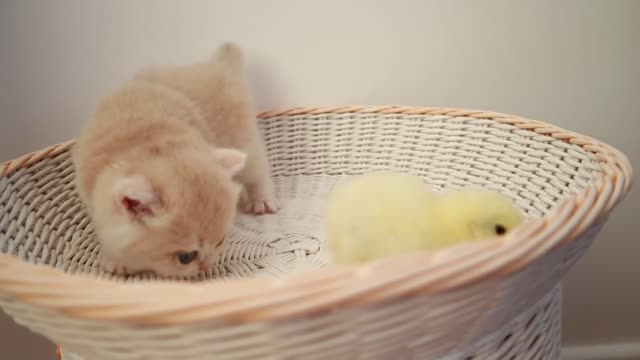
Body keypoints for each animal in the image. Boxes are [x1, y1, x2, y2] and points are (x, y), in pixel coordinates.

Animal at [72, 43, 278, 278]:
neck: (146, 141)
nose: (206, 266)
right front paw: (115, 259)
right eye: (186, 257)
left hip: (243, 139)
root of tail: (218, 65)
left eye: (220, 242)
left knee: (257, 172)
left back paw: (262, 200)